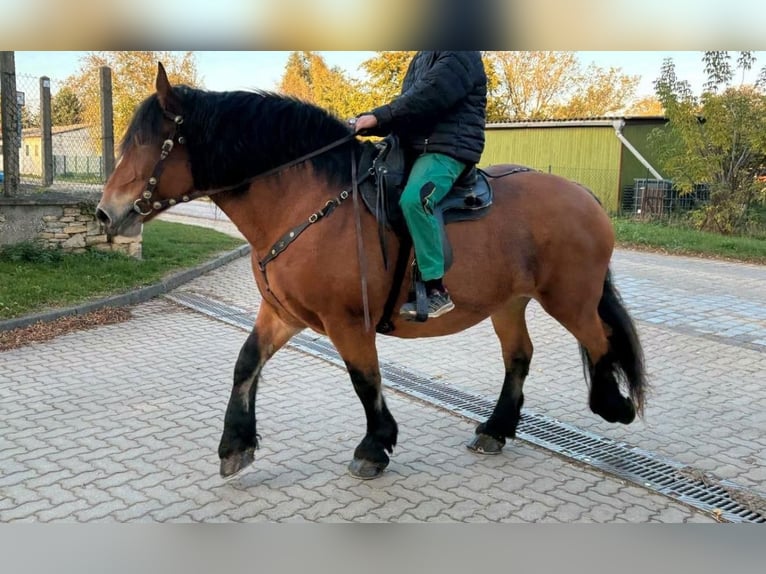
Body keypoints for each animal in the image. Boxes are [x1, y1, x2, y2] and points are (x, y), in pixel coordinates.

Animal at [96, 64, 648, 482]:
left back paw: (612, 405)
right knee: (520, 356)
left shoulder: (347, 322)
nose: (106, 213)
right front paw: (235, 444)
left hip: (569, 297)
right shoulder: (283, 313)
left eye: (151, 144)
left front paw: (374, 446)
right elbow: (246, 363)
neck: (307, 201)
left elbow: (365, 380)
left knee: (598, 340)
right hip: (509, 301)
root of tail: (584, 196)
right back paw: (496, 428)